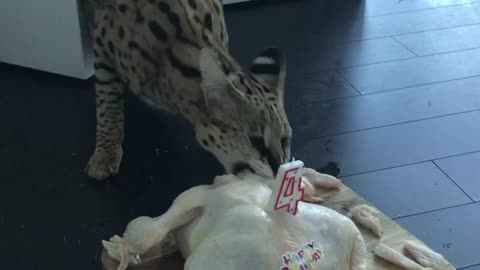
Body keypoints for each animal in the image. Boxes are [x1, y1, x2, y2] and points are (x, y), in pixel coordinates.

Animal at [83, 0, 292, 181]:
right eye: (255, 140)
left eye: (284, 140)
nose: (278, 169)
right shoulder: (102, 45)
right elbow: (107, 100)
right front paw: (105, 152)